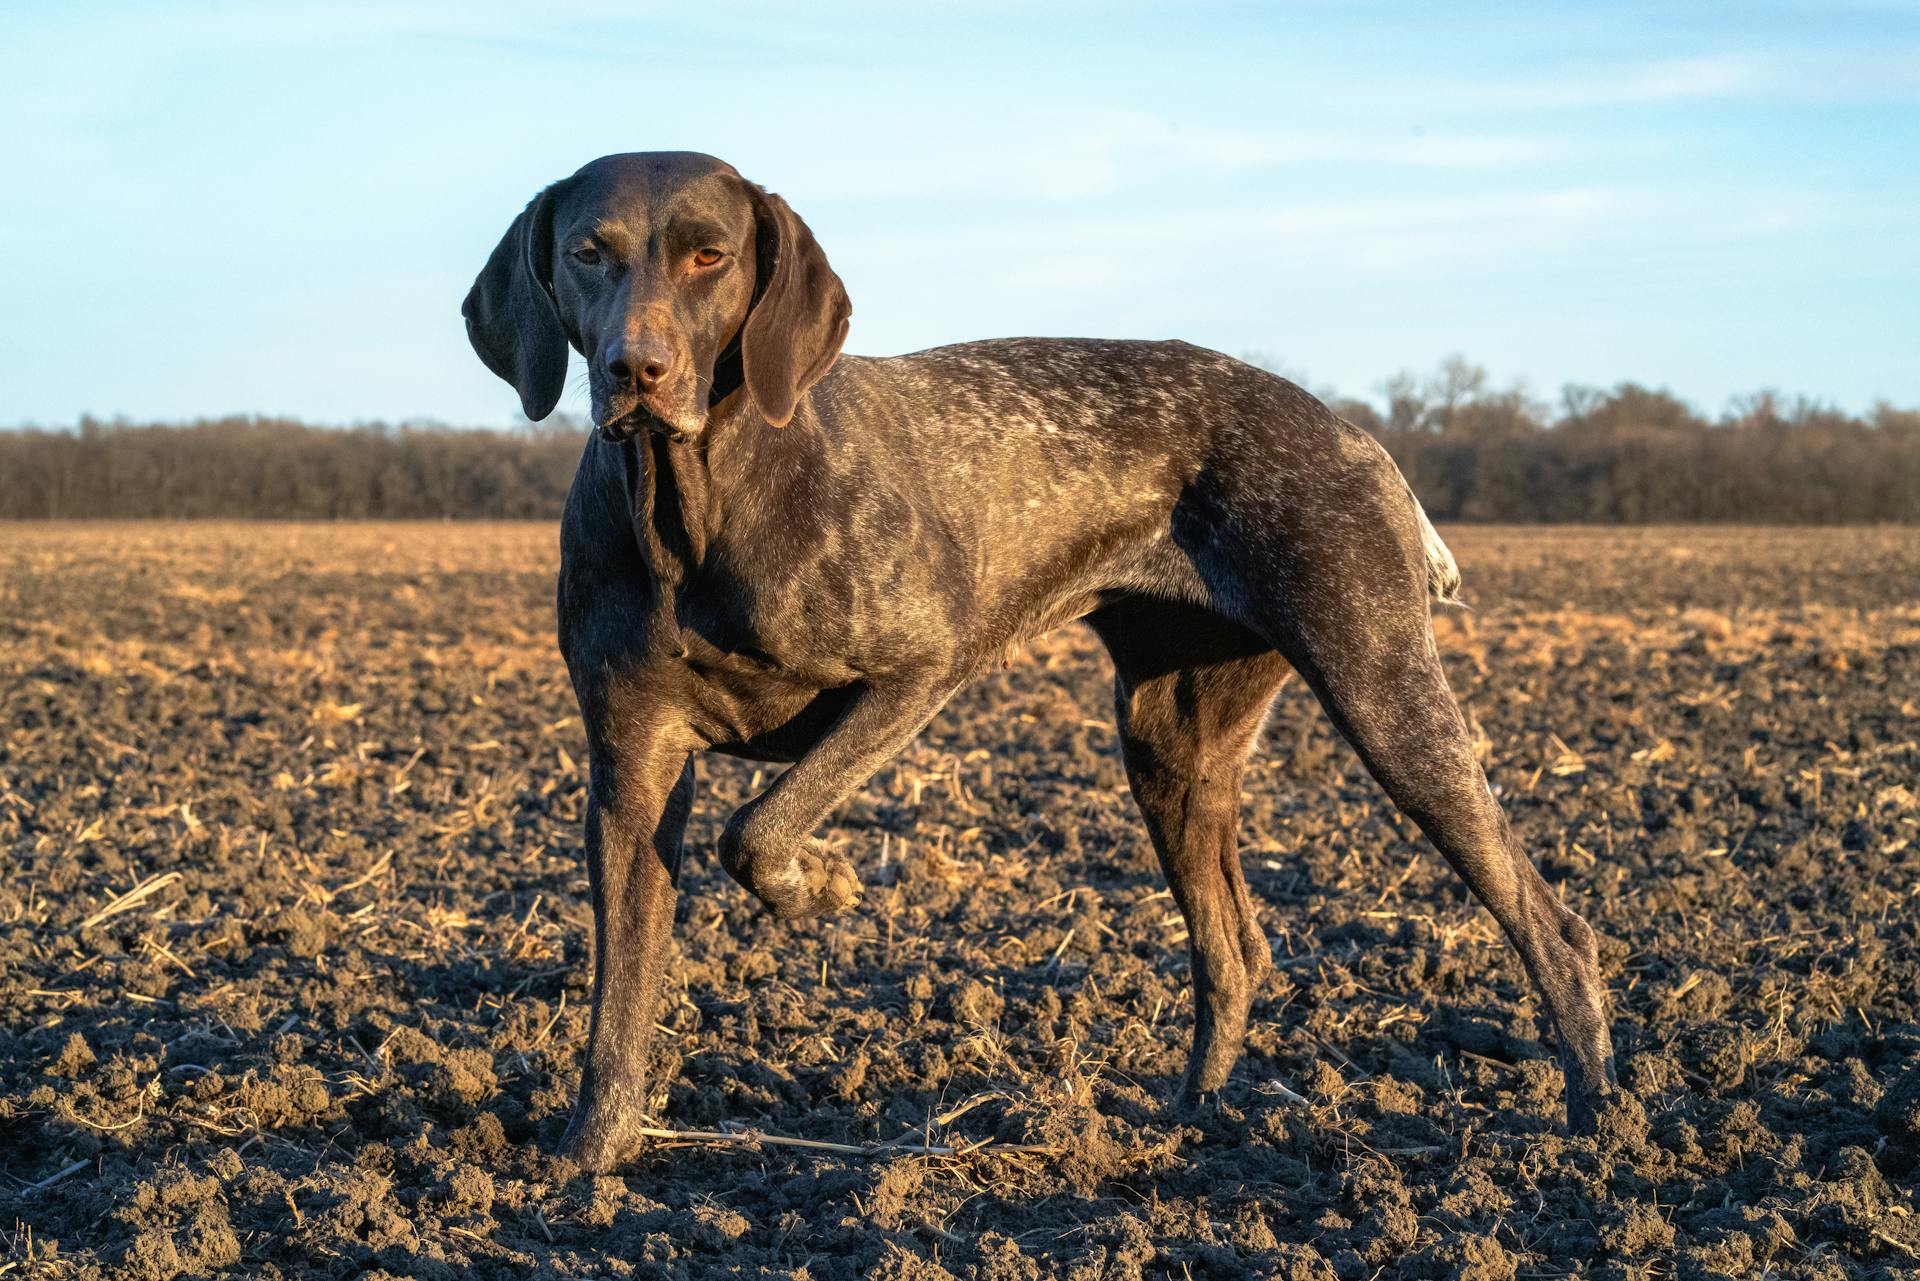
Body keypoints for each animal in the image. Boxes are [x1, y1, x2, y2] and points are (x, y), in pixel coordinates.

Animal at [464, 150, 1620, 1175]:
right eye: (587, 252)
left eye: (710, 256)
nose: (636, 371)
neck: (694, 505)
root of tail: (1355, 436)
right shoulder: (630, 772)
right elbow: (621, 994)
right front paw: (588, 1157)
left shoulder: (918, 672)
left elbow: (759, 828)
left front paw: (821, 886)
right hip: (1170, 746)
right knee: (1233, 951)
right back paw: (1189, 1124)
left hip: (1385, 696)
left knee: (1552, 924)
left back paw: (1598, 1125)